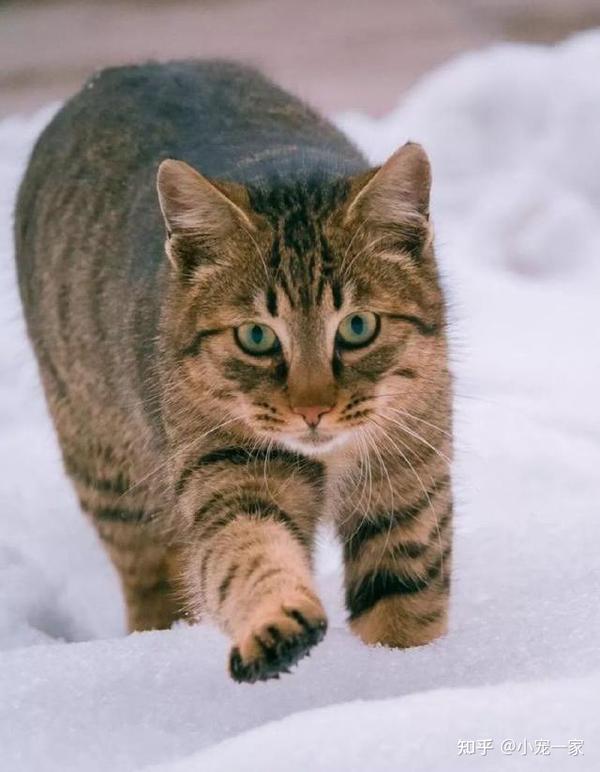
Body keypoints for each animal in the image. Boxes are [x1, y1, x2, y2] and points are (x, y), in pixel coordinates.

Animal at [14, 60, 452, 680]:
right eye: (256, 336)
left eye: (358, 326)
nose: (313, 409)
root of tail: (131, 67)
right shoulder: (226, 474)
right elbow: (245, 554)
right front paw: (278, 624)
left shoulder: (408, 484)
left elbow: (404, 606)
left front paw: (414, 679)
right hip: (110, 474)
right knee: (152, 581)